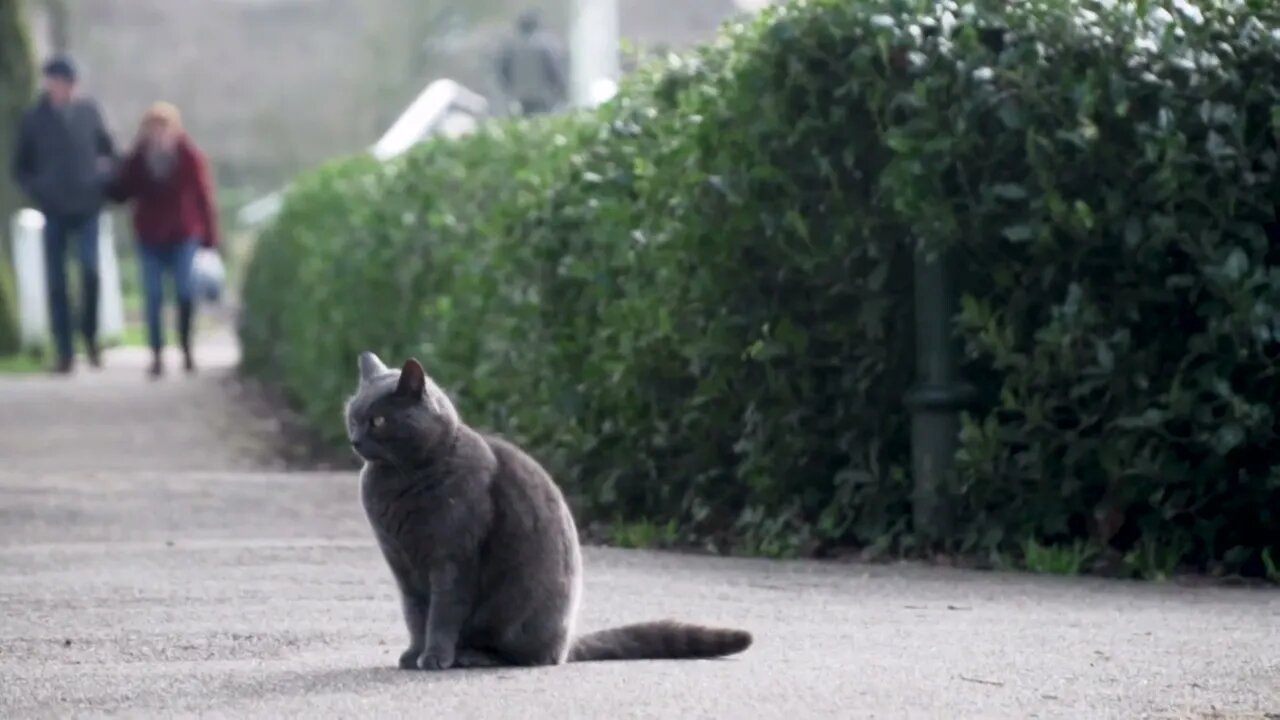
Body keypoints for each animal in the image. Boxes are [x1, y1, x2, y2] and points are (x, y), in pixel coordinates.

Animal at [345, 351, 752, 666]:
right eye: (352, 415)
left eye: (379, 420)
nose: (355, 440)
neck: (399, 481)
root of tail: (568, 644)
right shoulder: (402, 565)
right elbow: (415, 614)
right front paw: (414, 653)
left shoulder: (452, 559)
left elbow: (442, 614)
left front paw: (433, 656)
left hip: (510, 608)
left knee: (527, 655)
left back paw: (471, 656)